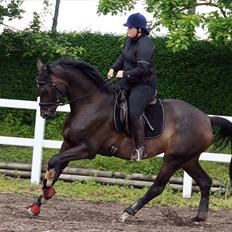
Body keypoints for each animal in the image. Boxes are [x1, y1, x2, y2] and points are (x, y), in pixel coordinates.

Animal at [29, 57, 232, 222]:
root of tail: (206, 119)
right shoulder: (69, 144)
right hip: (188, 159)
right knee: (205, 182)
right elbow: (57, 167)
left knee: (158, 187)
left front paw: (47, 188)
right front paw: (38, 203)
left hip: (174, 158)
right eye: (38, 85)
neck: (90, 103)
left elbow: (53, 161)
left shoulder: (87, 149)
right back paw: (199, 217)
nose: (45, 113)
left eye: (47, 85)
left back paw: (128, 212)